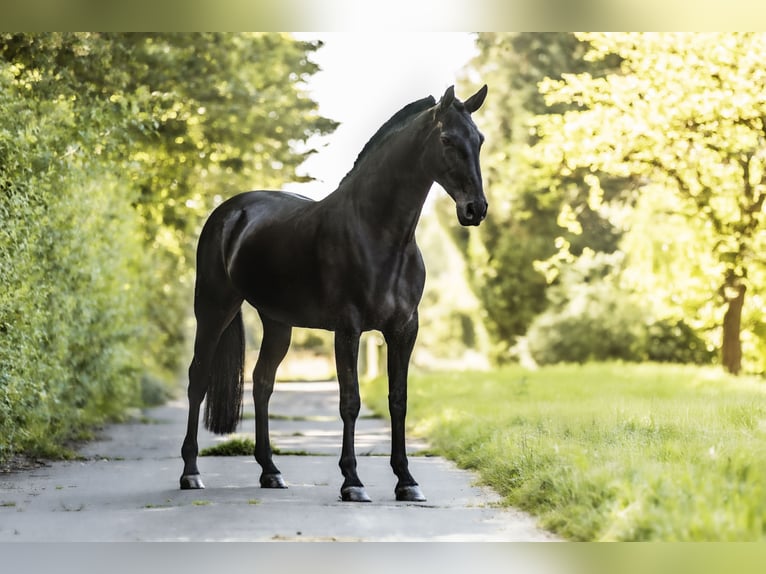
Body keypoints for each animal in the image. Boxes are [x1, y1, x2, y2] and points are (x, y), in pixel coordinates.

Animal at [181, 83, 488, 502]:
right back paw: (191, 472)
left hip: (277, 323)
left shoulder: (405, 330)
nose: (476, 209)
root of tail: (230, 212)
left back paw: (270, 471)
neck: (378, 232)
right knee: (198, 378)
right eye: (446, 140)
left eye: (479, 139)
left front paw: (406, 481)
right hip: (214, 307)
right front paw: (352, 481)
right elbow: (350, 402)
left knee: (263, 384)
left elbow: (398, 400)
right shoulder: (348, 329)